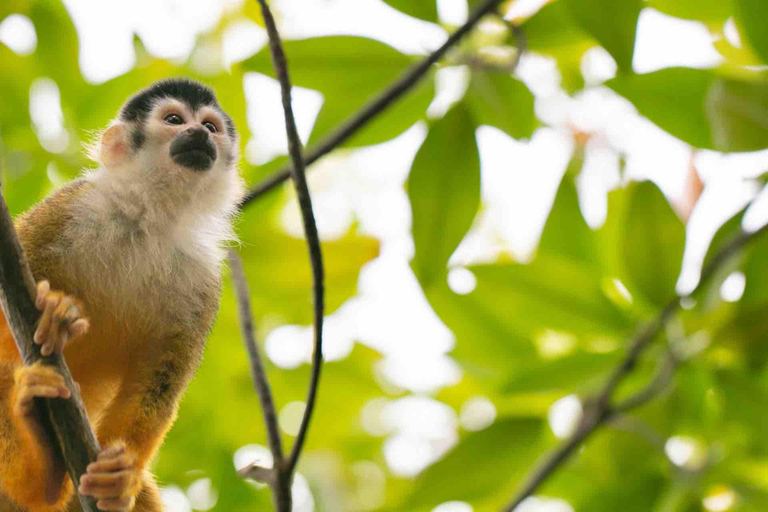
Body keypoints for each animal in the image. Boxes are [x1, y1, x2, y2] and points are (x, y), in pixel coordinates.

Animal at [0, 78, 243, 510]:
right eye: (174, 120)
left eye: (210, 126)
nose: (198, 134)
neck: (149, 217)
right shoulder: (69, 205)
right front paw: (57, 313)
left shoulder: (204, 280)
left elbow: (156, 384)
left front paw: (119, 477)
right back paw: (38, 473)